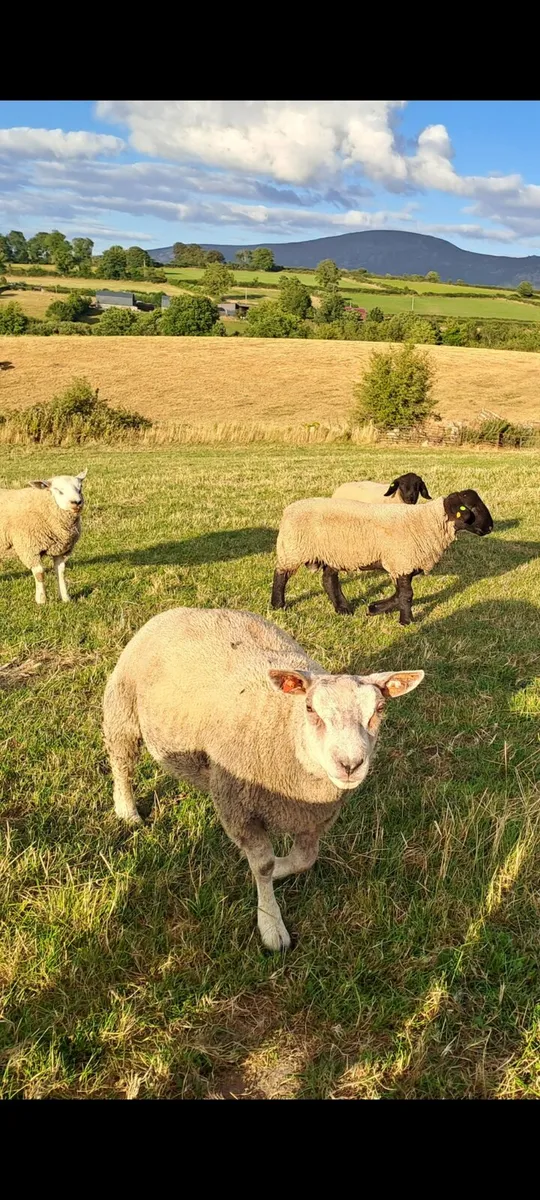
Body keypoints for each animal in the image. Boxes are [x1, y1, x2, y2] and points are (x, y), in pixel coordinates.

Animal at [0, 470, 87, 604]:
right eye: (58, 490)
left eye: (80, 488)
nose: (77, 502)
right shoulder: (29, 549)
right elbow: (40, 574)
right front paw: (41, 600)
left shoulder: (60, 550)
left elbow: (60, 572)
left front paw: (65, 598)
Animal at [103, 606, 424, 951]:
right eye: (310, 708)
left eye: (379, 709)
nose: (350, 764)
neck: (288, 729)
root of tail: (183, 609)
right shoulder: (241, 810)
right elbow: (264, 865)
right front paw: (271, 924)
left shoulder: (315, 818)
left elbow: (304, 859)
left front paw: (281, 870)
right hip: (122, 709)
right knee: (121, 763)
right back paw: (127, 810)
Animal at [271, 488, 493, 626]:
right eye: (472, 508)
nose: (490, 527)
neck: (428, 522)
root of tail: (288, 509)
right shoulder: (402, 561)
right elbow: (407, 595)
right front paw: (406, 621)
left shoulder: (401, 564)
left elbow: (399, 594)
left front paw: (375, 607)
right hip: (292, 549)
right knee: (280, 575)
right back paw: (278, 605)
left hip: (334, 552)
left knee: (328, 579)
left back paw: (343, 608)